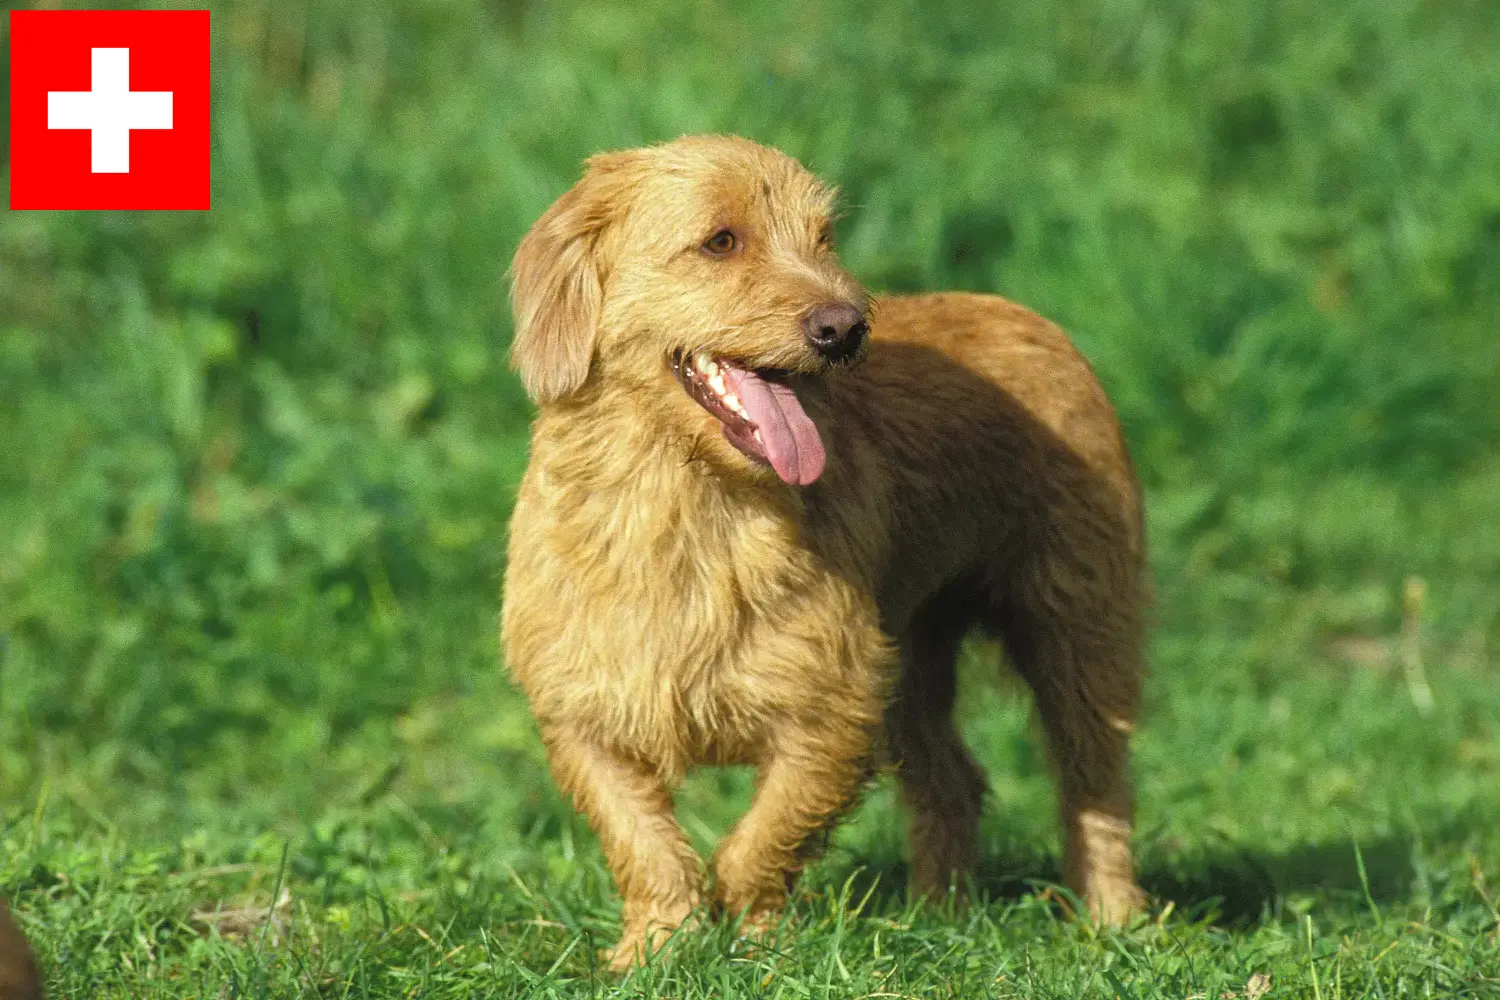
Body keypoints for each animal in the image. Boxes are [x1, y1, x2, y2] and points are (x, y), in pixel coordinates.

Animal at [504, 134, 1146, 971]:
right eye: (721, 241)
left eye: (823, 238)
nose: (844, 328)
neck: (688, 505)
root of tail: (1024, 313)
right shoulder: (582, 716)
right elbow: (645, 845)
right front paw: (656, 948)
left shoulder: (834, 708)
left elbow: (763, 840)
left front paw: (757, 944)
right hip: (913, 661)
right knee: (954, 781)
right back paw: (937, 919)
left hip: (1076, 632)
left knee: (1095, 783)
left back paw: (1113, 921)